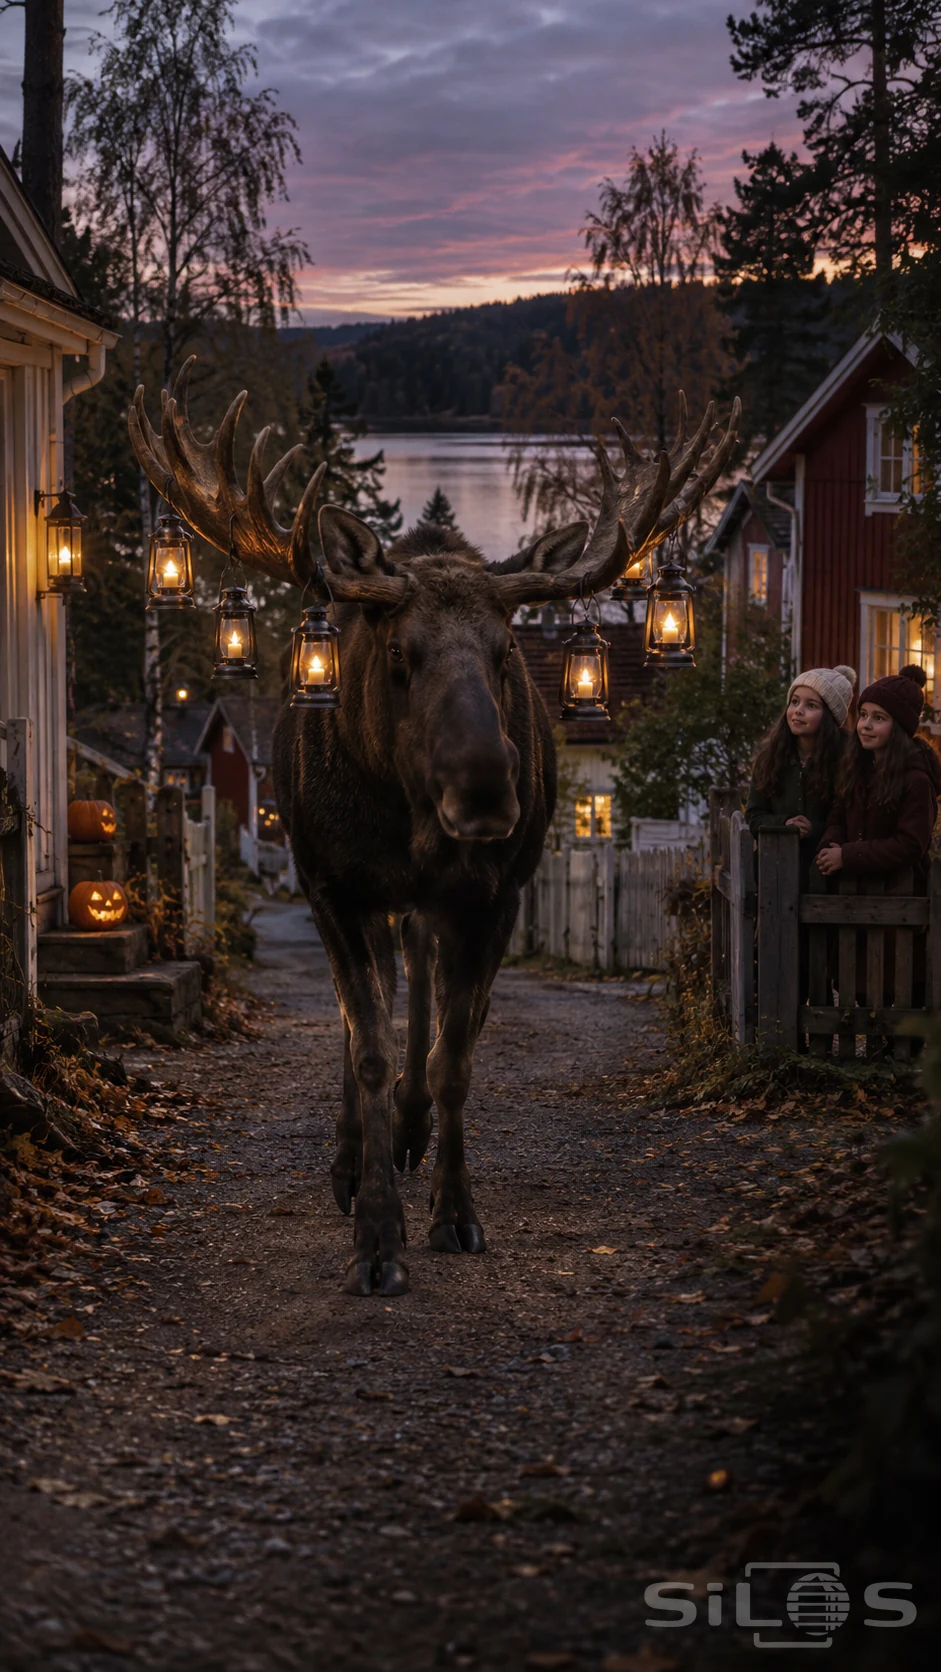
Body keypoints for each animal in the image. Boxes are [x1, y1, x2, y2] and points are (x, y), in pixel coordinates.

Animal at [130, 363, 738, 1296]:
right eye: (398, 656)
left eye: (504, 653)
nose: (486, 793)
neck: (410, 820)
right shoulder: (333, 887)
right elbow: (368, 1046)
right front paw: (376, 1237)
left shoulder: (494, 895)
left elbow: (455, 1055)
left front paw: (453, 1210)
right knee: (369, 1008)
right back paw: (354, 1159)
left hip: (434, 902)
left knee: (416, 979)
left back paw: (410, 1133)